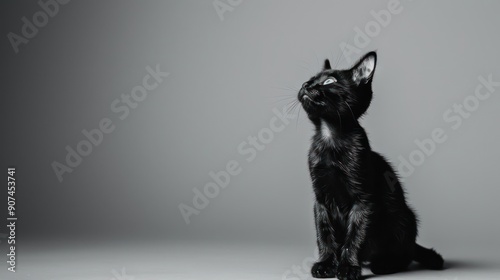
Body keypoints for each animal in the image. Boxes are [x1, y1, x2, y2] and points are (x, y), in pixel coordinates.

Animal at [298, 51, 444, 278]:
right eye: (310, 79)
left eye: (329, 81)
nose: (306, 84)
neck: (330, 136)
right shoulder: (320, 200)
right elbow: (324, 234)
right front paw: (326, 264)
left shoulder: (364, 201)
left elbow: (355, 236)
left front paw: (348, 267)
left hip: (404, 218)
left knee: (406, 254)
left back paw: (385, 265)